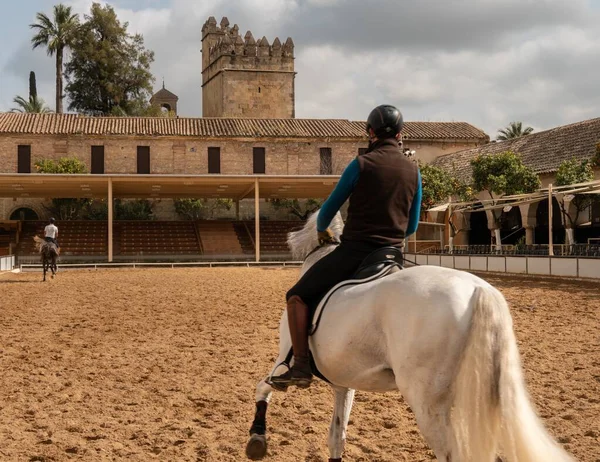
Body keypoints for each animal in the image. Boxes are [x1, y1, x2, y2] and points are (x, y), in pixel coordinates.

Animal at [245, 211, 576, 460]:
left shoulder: (283, 361)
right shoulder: (344, 384)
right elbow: (336, 437)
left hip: (427, 403)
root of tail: (479, 289)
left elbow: (263, 387)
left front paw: (257, 440)